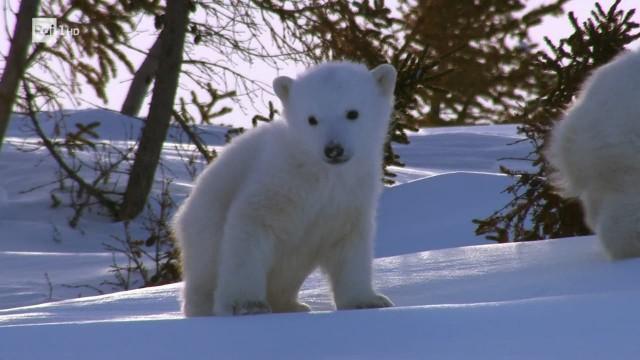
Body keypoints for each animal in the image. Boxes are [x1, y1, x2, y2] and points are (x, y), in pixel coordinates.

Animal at [174, 62, 396, 316]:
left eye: (352, 113)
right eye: (312, 119)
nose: (333, 149)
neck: (319, 172)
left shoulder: (350, 194)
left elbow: (349, 242)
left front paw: (368, 300)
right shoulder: (276, 179)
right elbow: (250, 227)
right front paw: (246, 304)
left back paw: (293, 304)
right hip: (202, 229)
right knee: (204, 271)